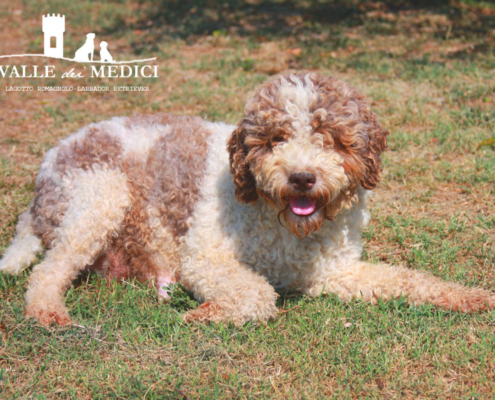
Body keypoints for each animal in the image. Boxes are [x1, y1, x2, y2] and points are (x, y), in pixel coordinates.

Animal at [0, 72, 495, 324]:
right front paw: (208, 313)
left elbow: (408, 279)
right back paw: (47, 312)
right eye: (276, 139)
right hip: (98, 198)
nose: (302, 177)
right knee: (47, 272)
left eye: (332, 138)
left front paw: (469, 296)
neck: (289, 229)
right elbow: (258, 291)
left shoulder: (332, 272)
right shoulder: (204, 257)